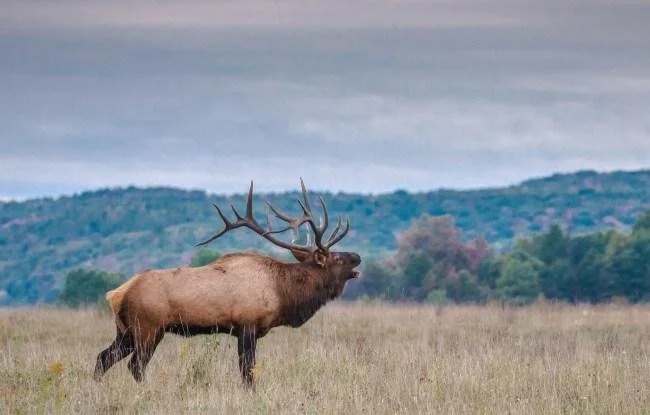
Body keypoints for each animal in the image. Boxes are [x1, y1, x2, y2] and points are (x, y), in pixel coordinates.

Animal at [93, 179, 361, 386]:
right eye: (337, 258)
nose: (358, 256)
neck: (282, 293)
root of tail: (115, 294)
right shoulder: (247, 325)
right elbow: (247, 372)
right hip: (147, 328)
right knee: (135, 366)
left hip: (126, 332)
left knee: (103, 358)